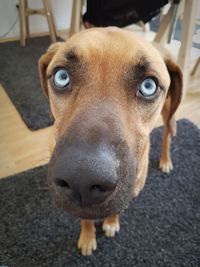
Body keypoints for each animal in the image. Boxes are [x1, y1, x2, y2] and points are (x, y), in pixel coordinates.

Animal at [38, 27, 183, 258]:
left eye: (148, 86)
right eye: (62, 77)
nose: (82, 179)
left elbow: (116, 209)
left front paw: (111, 223)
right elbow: (85, 218)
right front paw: (88, 238)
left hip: (169, 112)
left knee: (168, 133)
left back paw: (166, 160)